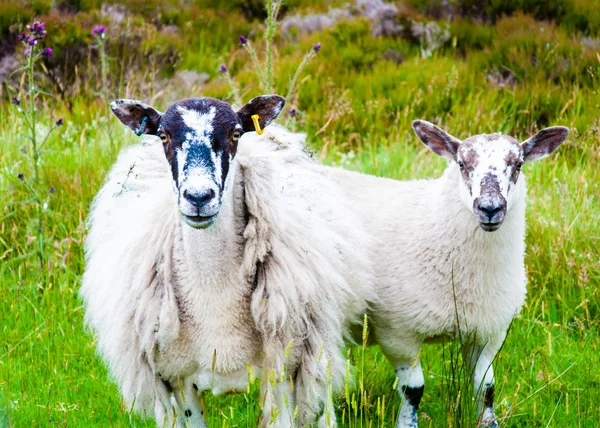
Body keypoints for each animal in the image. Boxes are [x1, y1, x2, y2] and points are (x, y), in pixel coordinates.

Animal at [78, 95, 376, 426]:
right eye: (164, 135)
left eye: (235, 133)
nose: (198, 197)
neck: (213, 296)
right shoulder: (179, 379)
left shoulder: (279, 370)